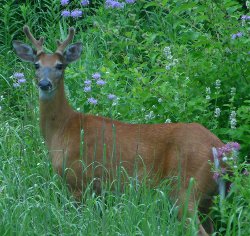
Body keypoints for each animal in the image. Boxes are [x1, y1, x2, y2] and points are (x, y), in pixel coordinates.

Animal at [12, 25, 226, 236]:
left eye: (60, 65)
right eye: (36, 65)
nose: (44, 84)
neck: (63, 129)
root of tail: (220, 148)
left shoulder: (77, 181)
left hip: (185, 188)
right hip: (206, 199)